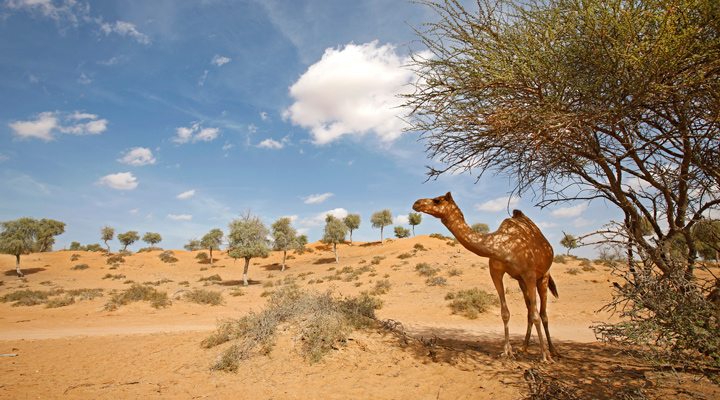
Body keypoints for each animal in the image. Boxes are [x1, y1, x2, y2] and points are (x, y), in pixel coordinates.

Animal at [412, 192, 558, 362]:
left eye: (437, 200)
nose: (416, 203)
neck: (503, 246)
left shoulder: (529, 273)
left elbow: (536, 315)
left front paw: (544, 356)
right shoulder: (496, 272)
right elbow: (505, 313)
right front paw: (507, 352)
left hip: (543, 276)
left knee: (542, 313)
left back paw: (552, 351)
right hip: (521, 281)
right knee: (529, 310)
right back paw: (524, 348)